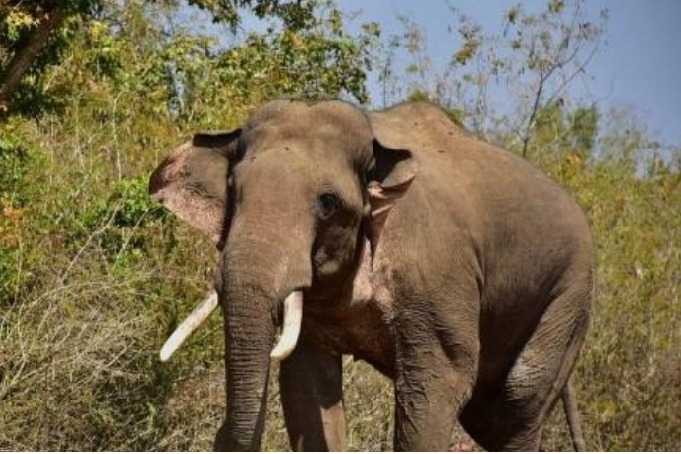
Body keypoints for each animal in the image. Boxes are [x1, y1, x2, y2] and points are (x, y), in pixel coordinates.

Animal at [147, 101, 588, 452]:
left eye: (328, 202)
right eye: (233, 190)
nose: (221, 434)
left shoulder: (435, 274)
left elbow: (438, 379)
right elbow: (308, 383)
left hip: (568, 297)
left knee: (516, 402)